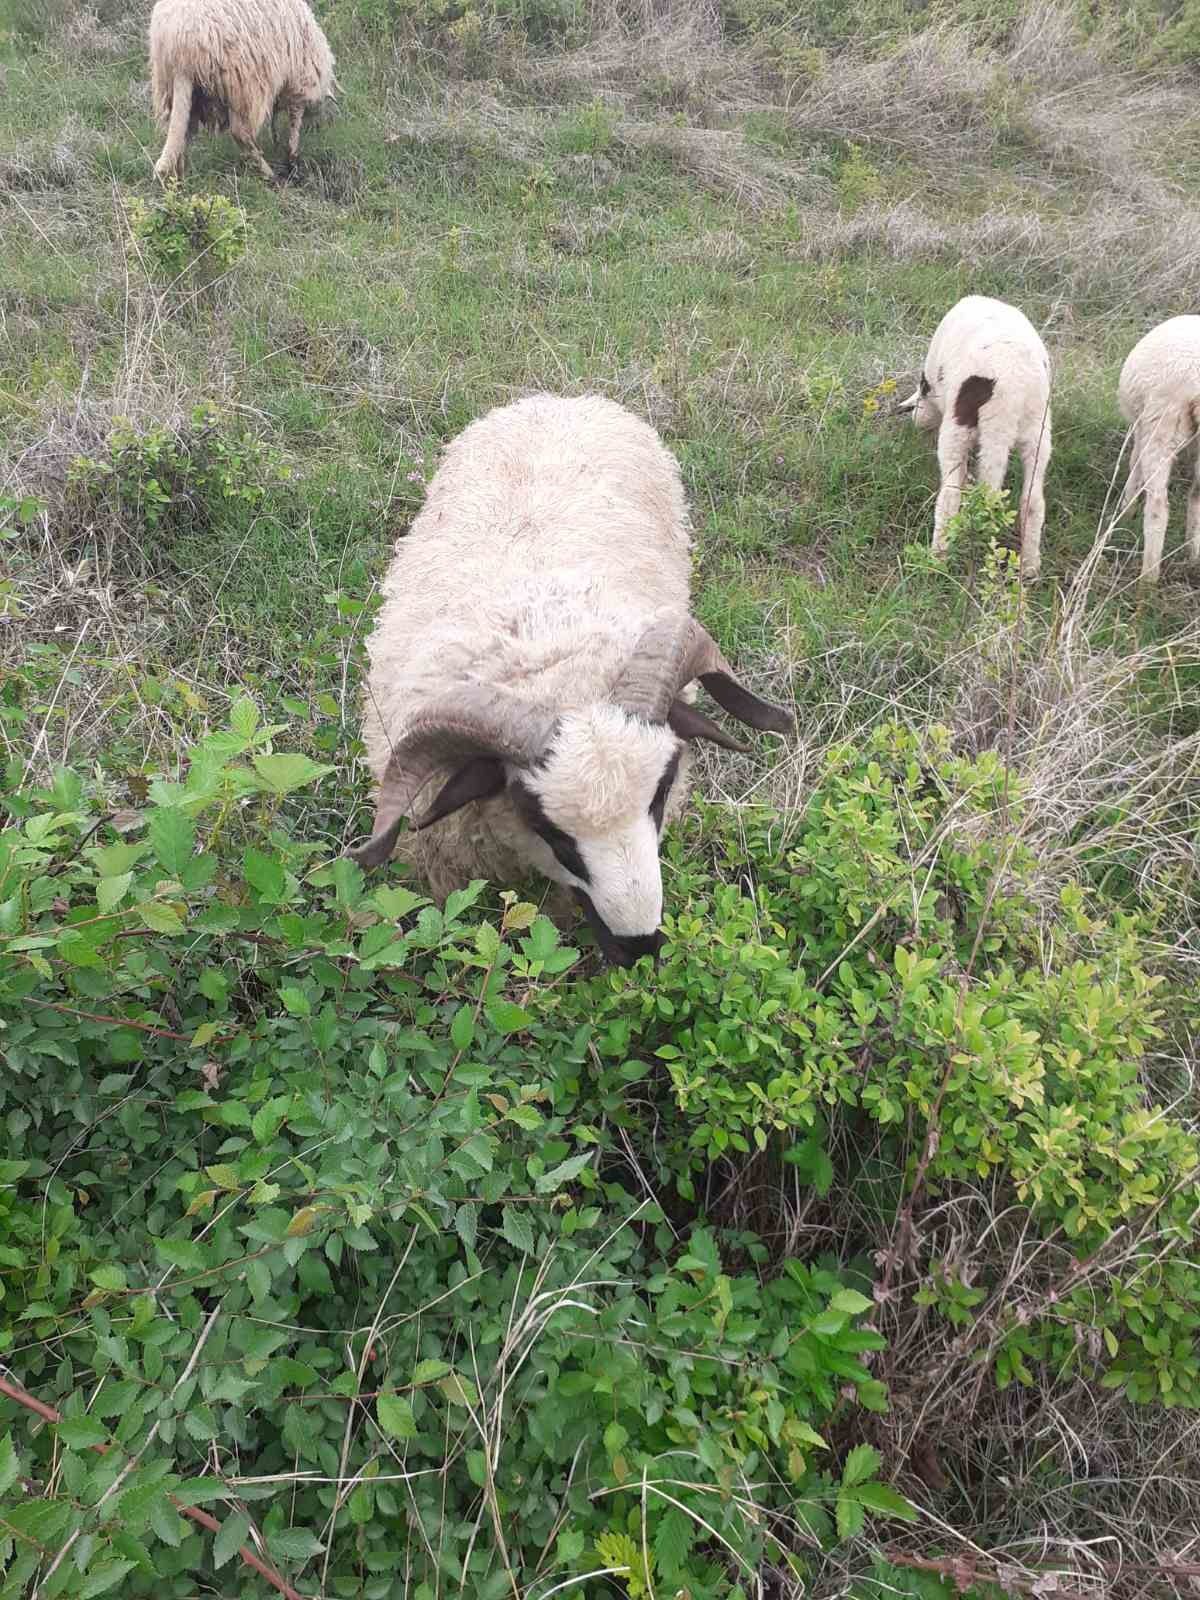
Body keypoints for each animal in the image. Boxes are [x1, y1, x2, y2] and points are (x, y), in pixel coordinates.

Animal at [152, 0, 339, 185]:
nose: (319, 127)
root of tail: (179, 44)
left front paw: (279, 142)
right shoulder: (300, 80)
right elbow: (294, 120)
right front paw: (292, 158)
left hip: (183, 89)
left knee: (184, 130)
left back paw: (178, 176)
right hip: (244, 83)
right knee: (239, 132)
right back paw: (269, 174)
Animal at [896, 296, 1056, 582]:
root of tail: (1010, 392)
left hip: (958, 428)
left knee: (950, 496)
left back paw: (937, 560)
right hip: (1037, 434)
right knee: (1033, 501)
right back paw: (1029, 567)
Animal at [1120, 315, 1200, 585]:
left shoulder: (1142, 426)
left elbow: (1135, 466)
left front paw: (1126, 510)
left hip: (1162, 424)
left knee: (1157, 506)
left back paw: (1148, 577)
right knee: (1197, 497)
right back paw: (1193, 556)